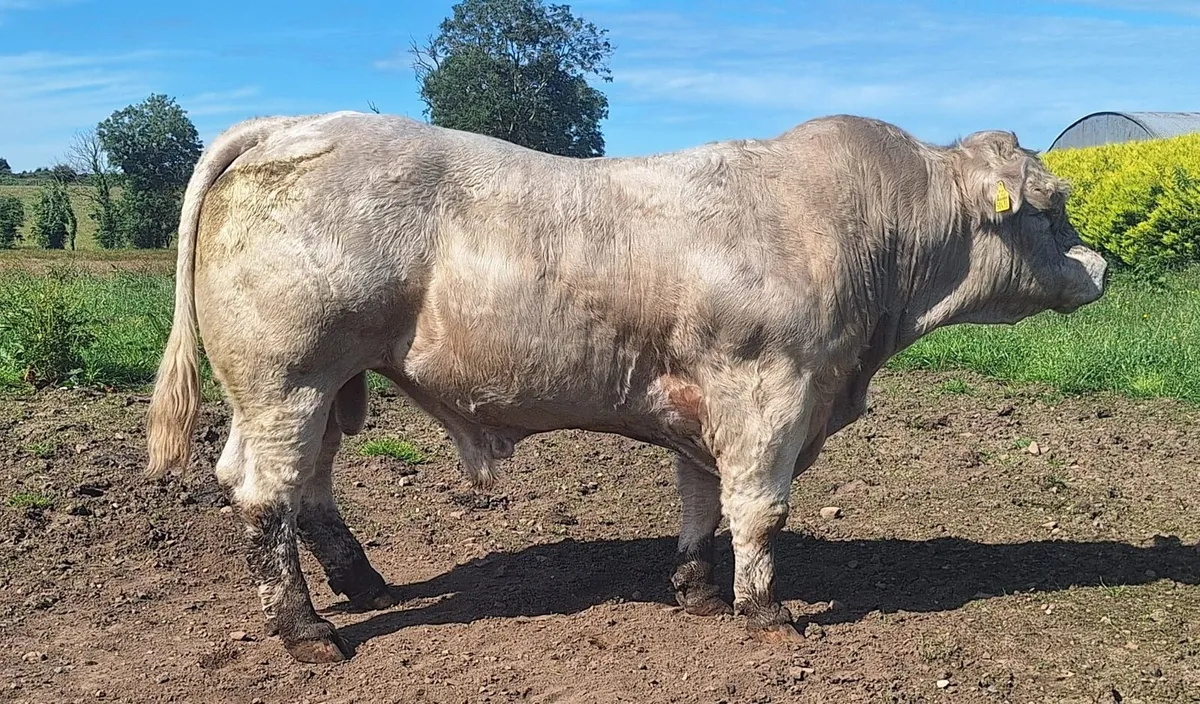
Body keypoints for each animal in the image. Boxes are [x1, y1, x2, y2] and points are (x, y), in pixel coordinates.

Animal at [145, 111, 1107, 664]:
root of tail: (291, 122)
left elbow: (702, 499)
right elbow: (760, 509)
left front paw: (697, 588)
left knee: (305, 488)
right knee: (265, 496)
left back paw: (365, 582)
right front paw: (765, 612)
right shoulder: (770, 388)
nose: (1102, 266)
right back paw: (308, 631)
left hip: (319, 386)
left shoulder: (708, 400)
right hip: (290, 378)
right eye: (1053, 205)